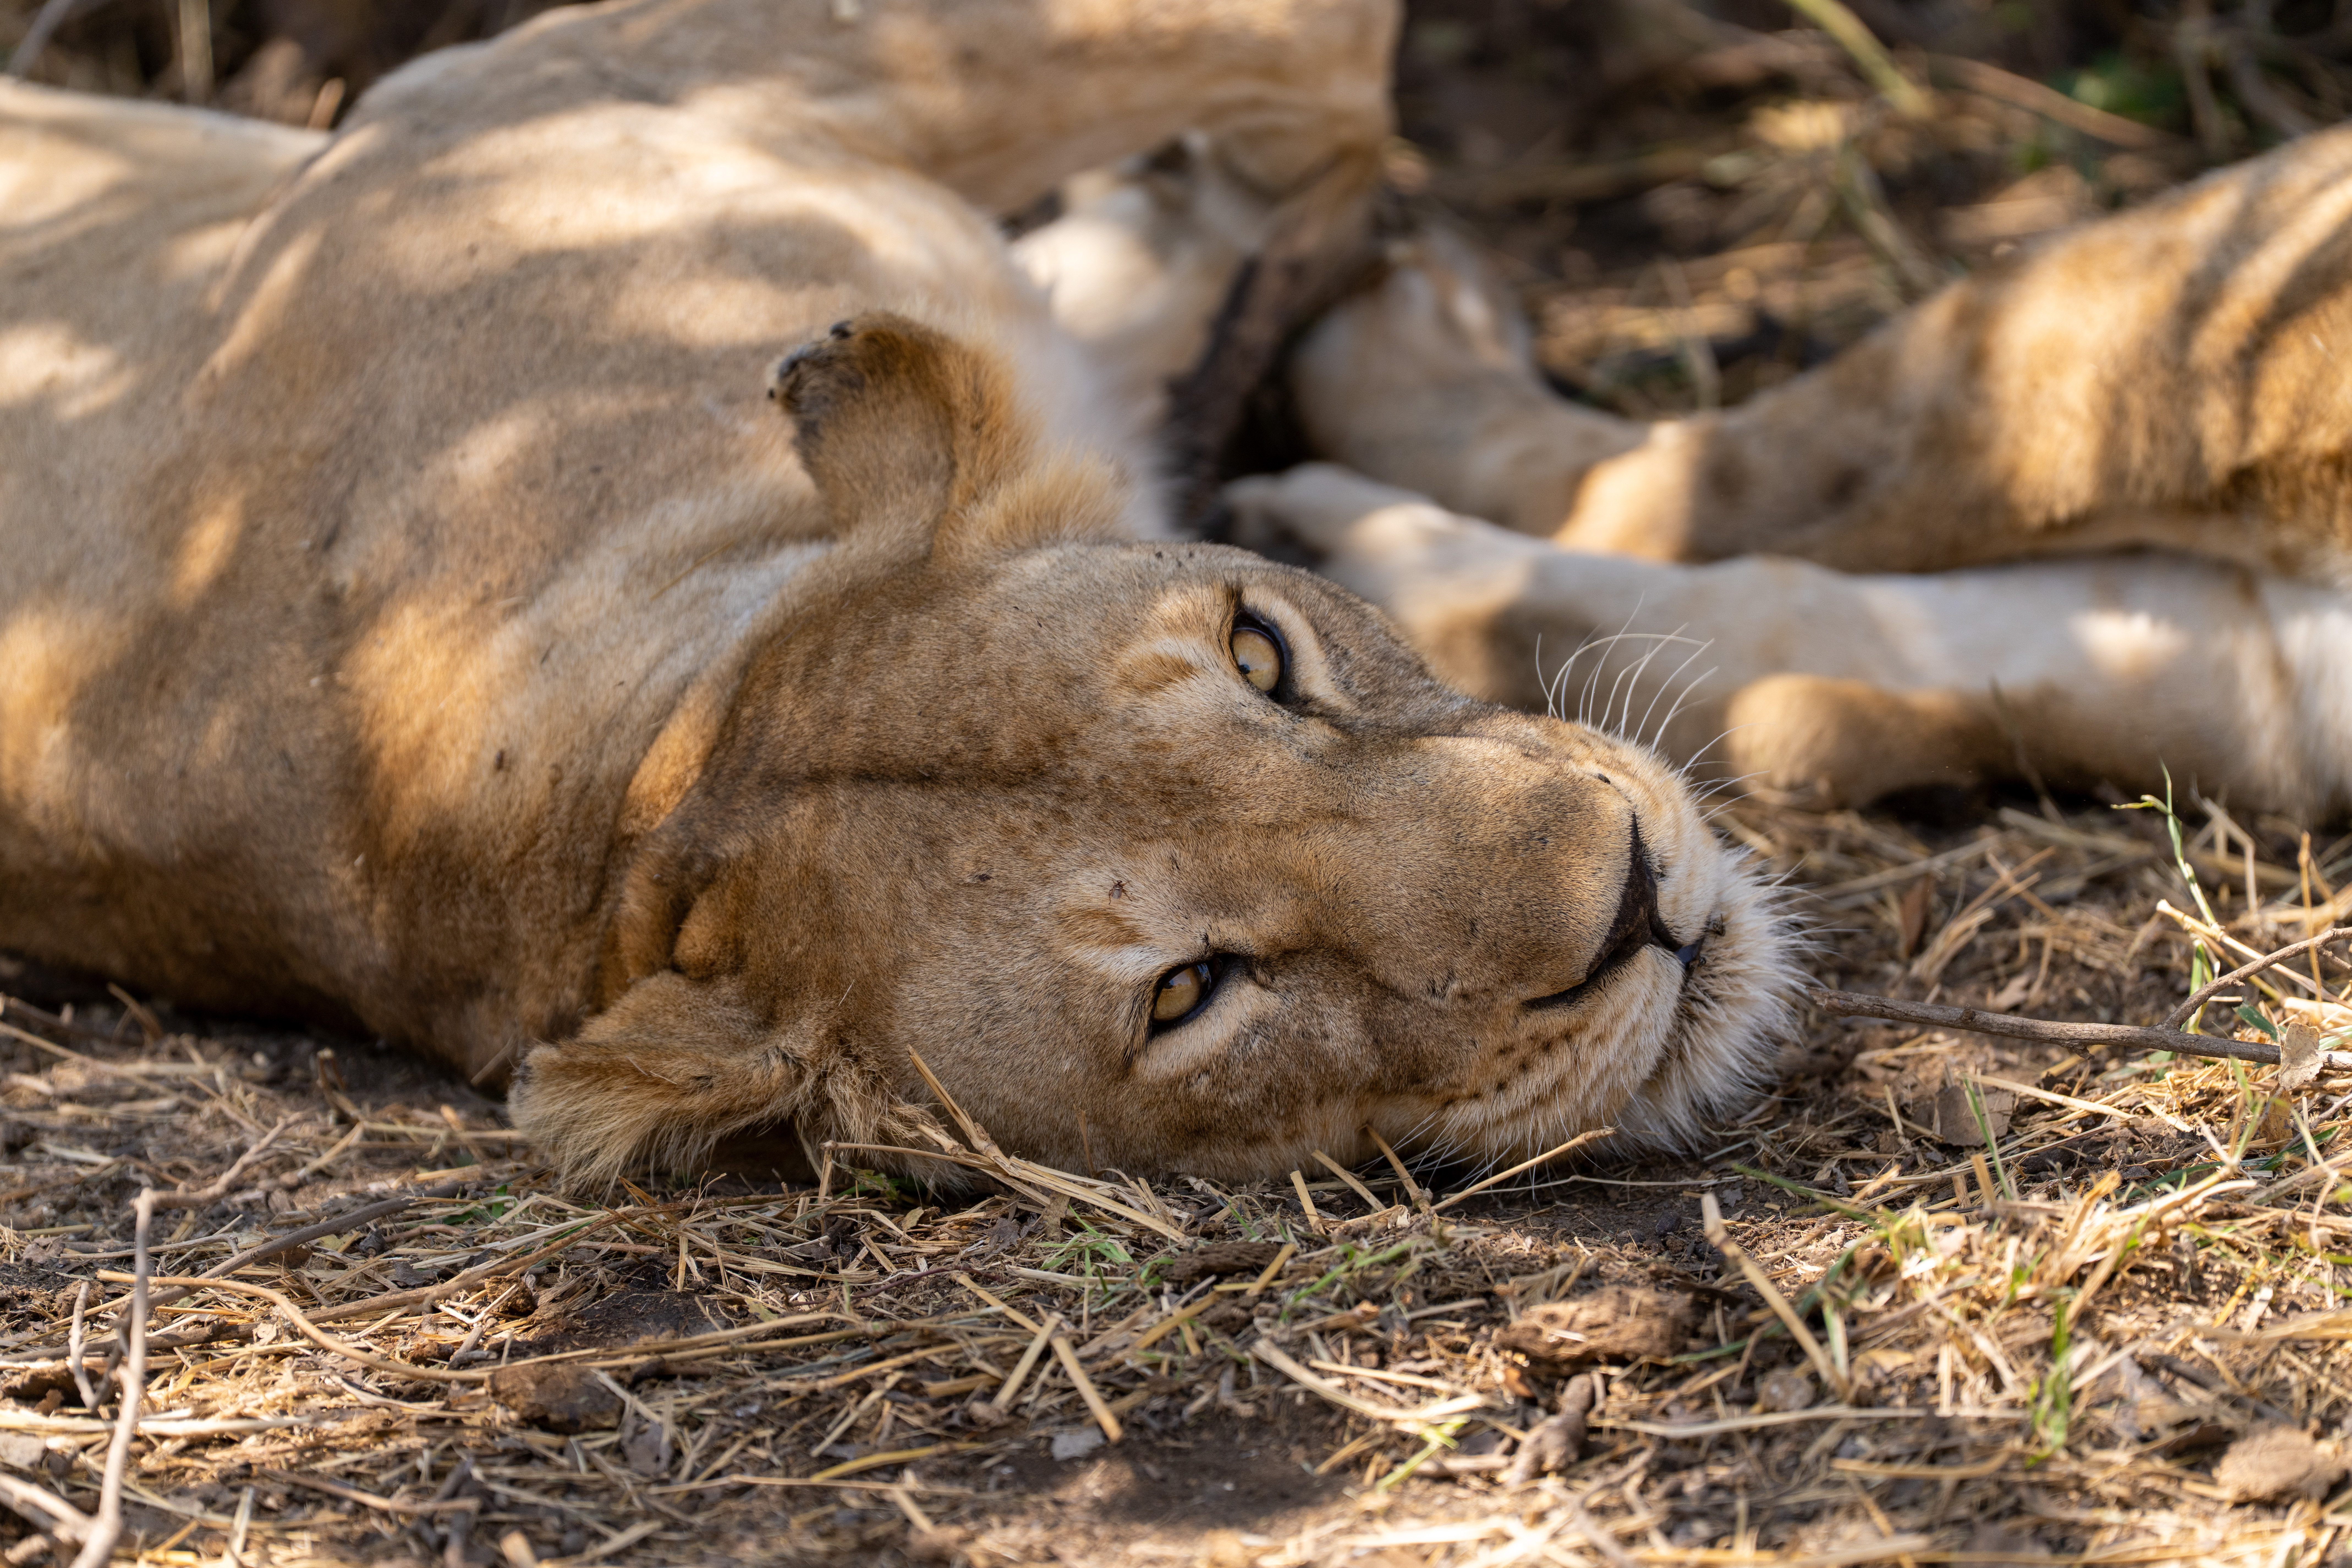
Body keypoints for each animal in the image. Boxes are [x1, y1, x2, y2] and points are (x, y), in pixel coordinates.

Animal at [0, 0, 1794, 1185]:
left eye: (1261, 656)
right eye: (1192, 992)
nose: (1634, 895)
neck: (635, 777)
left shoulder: (566, 86)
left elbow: (1309, 70)